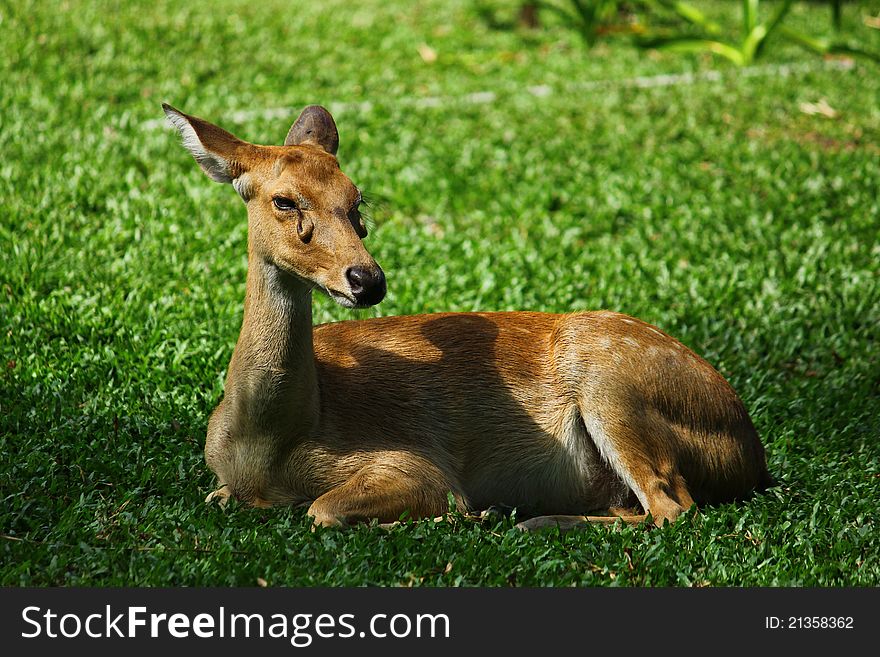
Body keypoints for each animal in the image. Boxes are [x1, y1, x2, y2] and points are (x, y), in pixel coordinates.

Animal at [163, 104, 768, 532]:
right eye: (284, 201)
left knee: (673, 507)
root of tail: (753, 453)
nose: (368, 279)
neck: (267, 445)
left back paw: (529, 520)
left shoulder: (412, 461)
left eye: (357, 202)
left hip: (615, 384)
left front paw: (463, 513)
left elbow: (324, 510)